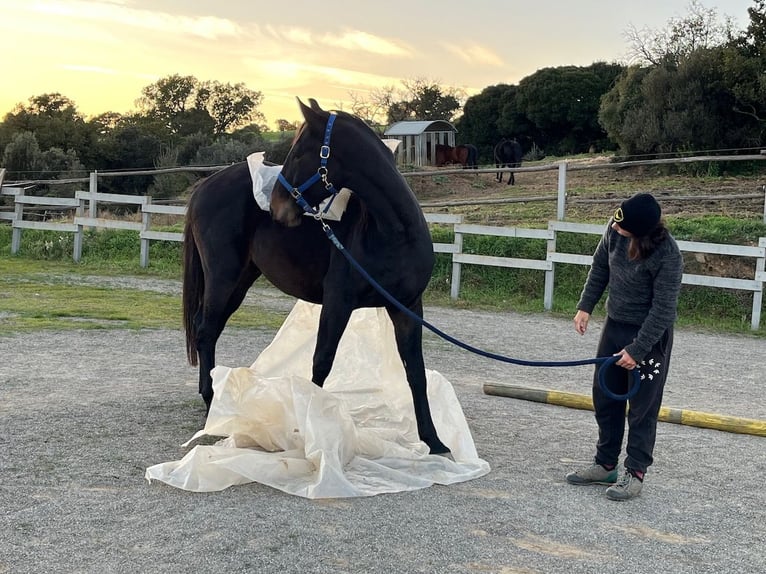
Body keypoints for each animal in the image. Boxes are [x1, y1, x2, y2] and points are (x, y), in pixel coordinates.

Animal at [183, 98, 449, 455]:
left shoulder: (407, 308)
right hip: (223, 279)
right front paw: (311, 430)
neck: (393, 232)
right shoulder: (338, 302)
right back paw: (212, 402)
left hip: (238, 282)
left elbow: (416, 372)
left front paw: (434, 441)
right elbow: (322, 362)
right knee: (206, 330)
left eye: (297, 154)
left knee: (206, 328)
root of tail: (204, 186)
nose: (276, 206)